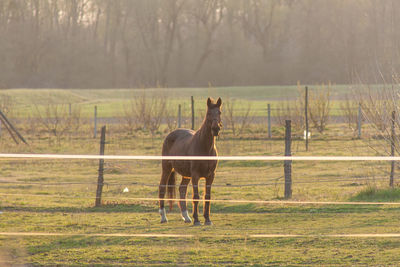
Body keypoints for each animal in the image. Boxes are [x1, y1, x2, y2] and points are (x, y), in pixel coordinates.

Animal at [159, 97, 222, 225]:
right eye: (208, 114)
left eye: (219, 112)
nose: (216, 129)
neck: (205, 147)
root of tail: (170, 135)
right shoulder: (195, 175)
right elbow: (196, 197)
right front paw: (197, 220)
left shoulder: (210, 176)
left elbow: (207, 196)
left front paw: (207, 219)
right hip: (167, 168)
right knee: (162, 187)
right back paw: (163, 217)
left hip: (186, 174)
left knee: (182, 189)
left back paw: (186, 217)